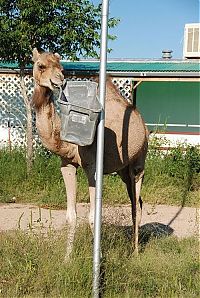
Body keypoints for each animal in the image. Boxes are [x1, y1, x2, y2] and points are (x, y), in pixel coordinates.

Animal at [31, 48, 148, 256]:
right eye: (41, 65)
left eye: (61, 68)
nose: (59, 80)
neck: (67, 143)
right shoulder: (67, 164)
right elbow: (71, 215)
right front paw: (67, 258)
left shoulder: (92, 165)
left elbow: (94, 216)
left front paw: (99, 257)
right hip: (123, 170)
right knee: (138, 202)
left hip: (139, 162)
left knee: (137, 204)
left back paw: (135, 252)